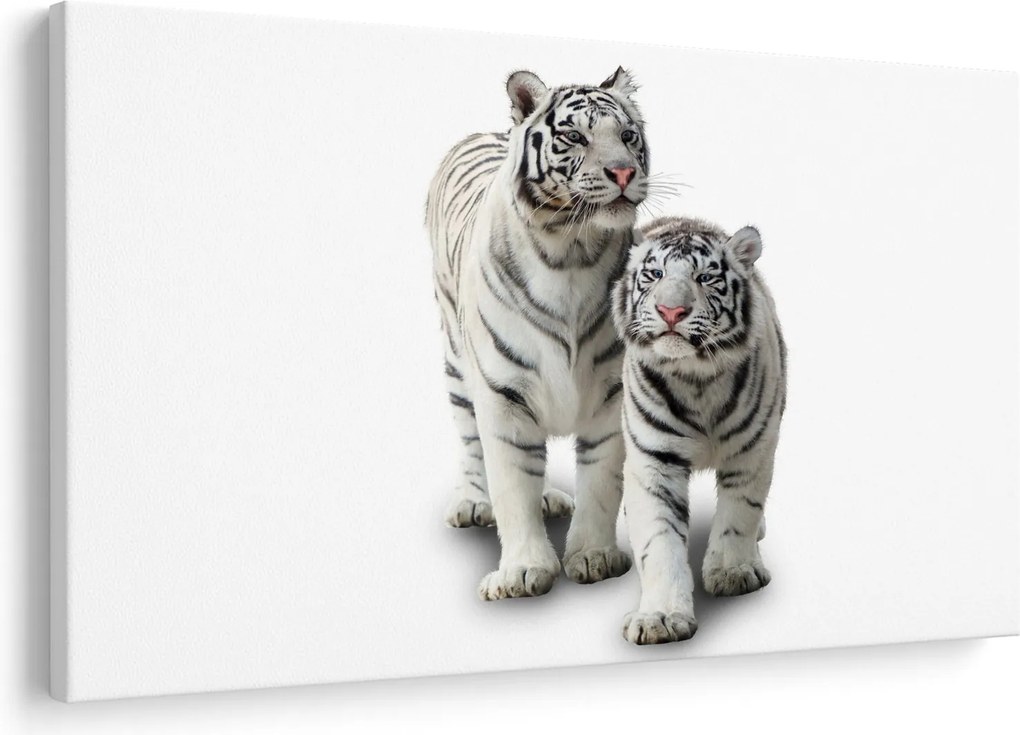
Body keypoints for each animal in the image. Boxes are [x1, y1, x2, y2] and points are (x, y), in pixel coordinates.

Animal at [425, 68, 649, 601]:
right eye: (576, 137)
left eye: (628, 136)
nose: (624, 173)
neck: (572, 250)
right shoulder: (503, 395)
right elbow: (511, 487)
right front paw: (523, 572)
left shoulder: (611, 394)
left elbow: (601, 482)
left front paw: (594, 557)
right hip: (455, 363)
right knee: (471, 442)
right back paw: (472, 502)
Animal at [611, 216, 787, 644]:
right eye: (655, 274)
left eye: (705, 277)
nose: (671, 311)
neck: (696, 378)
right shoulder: (654, 461)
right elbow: (658, 539)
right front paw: (658, 617)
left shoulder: (752, 451)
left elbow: (740, 514)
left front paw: (733, 572)